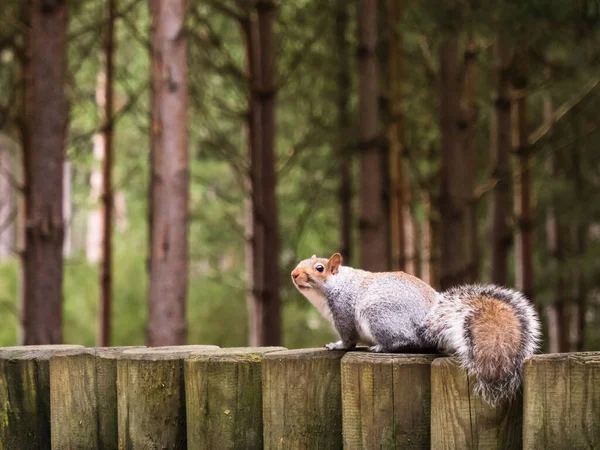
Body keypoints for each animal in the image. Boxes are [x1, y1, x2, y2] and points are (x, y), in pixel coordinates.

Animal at [290, 255, 540, 406]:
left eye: (319, 268)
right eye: (301, 262)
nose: (294, 274)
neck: (337, 285)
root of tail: (427, 326)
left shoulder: (344, 314)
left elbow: (348, 339)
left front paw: (336, 345)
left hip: (378, 315)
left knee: (407, 342)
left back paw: (381, 347)